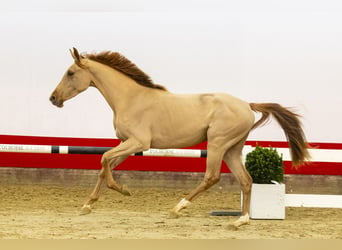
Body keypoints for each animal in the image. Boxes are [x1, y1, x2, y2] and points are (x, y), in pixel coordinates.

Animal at [50, 47, 310, 229]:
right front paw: (87, 205)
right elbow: (105, 166)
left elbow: (104, 160)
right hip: (232, 149)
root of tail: (247, 105)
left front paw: (123, 190)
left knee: (211, 177)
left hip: (217, 144)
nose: (53, 99)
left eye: (70, 73)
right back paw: (240, 221)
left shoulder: (138, 143)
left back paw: (177, 208)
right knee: (246, 180)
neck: (130, 98)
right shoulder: (126, 144)